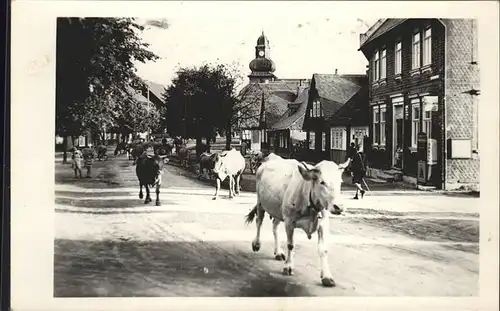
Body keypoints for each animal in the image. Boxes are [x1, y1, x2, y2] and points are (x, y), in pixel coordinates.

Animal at [245, 154, 348, 288]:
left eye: (340, 182)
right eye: (322, 182)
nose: (339, 207)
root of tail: (271, 157)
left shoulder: (323, 223)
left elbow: (323, 249)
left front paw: (326, 276)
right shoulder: (289, 221)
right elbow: (291, 245)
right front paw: (288, 266)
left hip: (278, 210)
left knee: (275, 227)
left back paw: (278, 252)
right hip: (260, 201)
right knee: (259, 221)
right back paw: (256, 244)